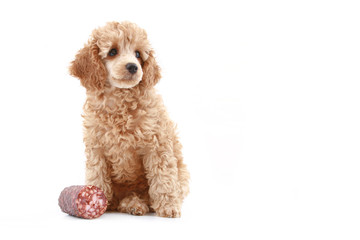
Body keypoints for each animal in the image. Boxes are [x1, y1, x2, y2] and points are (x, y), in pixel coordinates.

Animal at [68, 22, 190, 218]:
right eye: (112, 51)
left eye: (138, 54)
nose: (133, 66)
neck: (120, 100)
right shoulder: (96, 145)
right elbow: (97, 174)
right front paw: (96, 199)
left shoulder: (157, 144)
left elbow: (163, 177)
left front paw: (168, 206)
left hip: (182, 175)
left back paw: (135, 204)